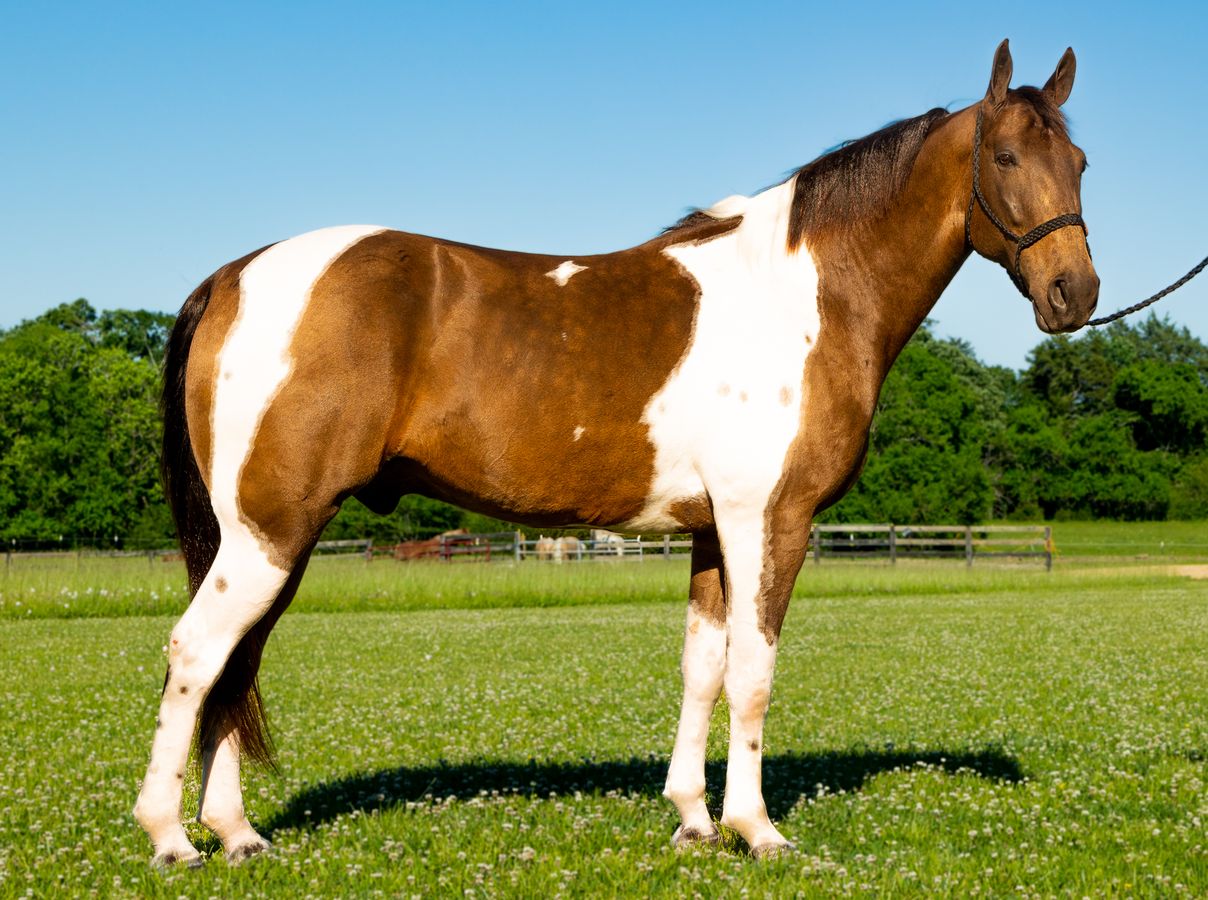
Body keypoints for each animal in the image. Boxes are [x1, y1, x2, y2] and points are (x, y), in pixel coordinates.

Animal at [135, 40, 1097, 866]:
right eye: (1006, 159)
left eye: (1081, 163)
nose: (1074, 293)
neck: (803, 295)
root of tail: (233, 275)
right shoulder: (768, 522)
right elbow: (753, 671)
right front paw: (758, 830)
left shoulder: (711, 532)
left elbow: (702, 669)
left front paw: (694, 822)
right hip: (270, 532)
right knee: (198, 653)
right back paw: (173, 838)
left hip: (274, 539)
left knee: (237, 663)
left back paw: (238, 834)